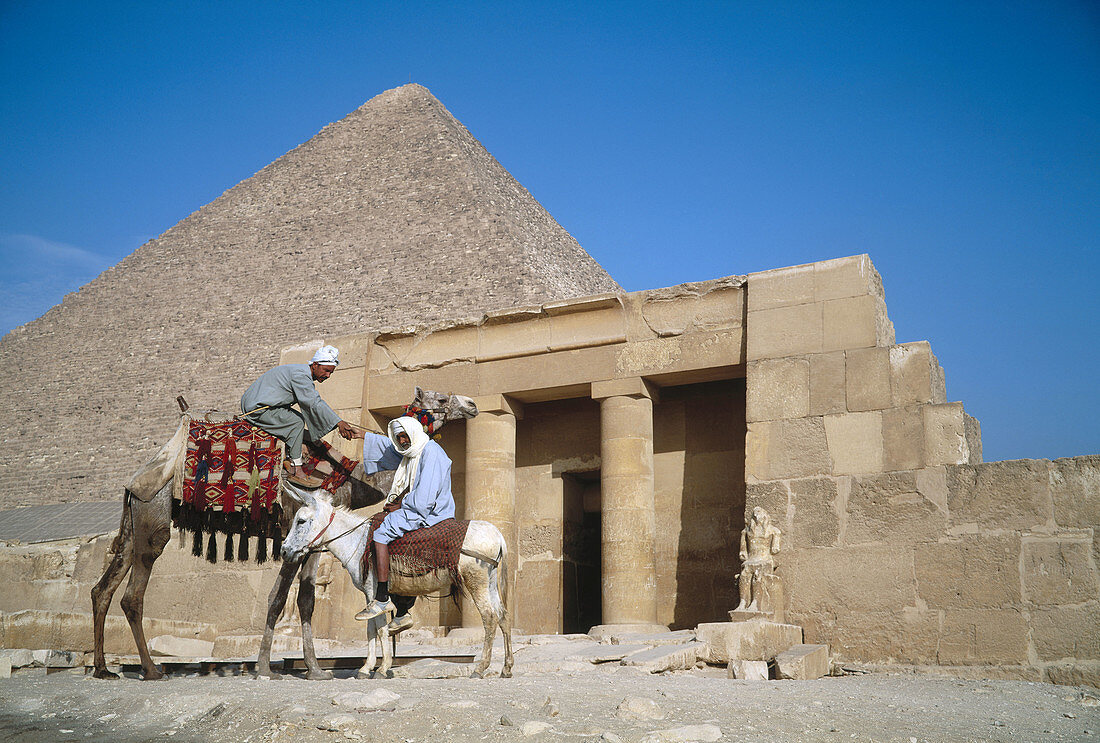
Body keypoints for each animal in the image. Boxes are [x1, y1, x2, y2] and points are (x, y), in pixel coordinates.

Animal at [90, 387, 477, 682]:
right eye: (441, 398)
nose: (472, 404)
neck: (346, 481)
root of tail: (133, 482)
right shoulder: (299, 537)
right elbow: (280, 598)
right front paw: (267, 668)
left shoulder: (313, 542)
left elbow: (303, 600)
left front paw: (314, 670)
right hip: (153, 517)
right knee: (133, 594)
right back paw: (152, 670)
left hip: (134, 523)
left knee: (103, 588)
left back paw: (103, 669)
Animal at [279, 482, 510, 678]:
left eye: (301, 521)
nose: (284, 551)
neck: (359, 540)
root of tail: (498, 535)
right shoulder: (370, 597)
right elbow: (370, 628)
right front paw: (366, 668)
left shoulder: (375, 593)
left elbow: (380, 629)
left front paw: (382, 668)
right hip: (490, 583)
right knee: (503, 617)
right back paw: (507, 668)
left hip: (476, 582)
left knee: (490, 618)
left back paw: (480, 668)